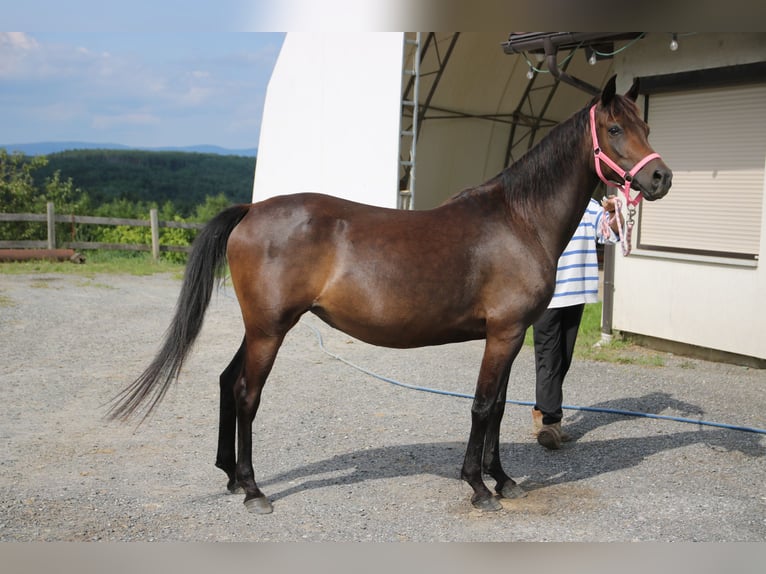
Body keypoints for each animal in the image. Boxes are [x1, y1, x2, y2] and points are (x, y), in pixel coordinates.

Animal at [109, 75, 672, 512]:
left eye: (646, 128)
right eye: (615, 129)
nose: (660, 177)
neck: (518, 220)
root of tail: (252, 209)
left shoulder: (509, 336)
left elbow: (499, 405)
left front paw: (504, 480)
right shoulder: (504, 334)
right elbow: (482, 406)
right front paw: (478, 487)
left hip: (258, 328)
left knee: (228, 382)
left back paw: (229, 475)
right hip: (269, 330)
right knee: (247, 393)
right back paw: (252, 490)